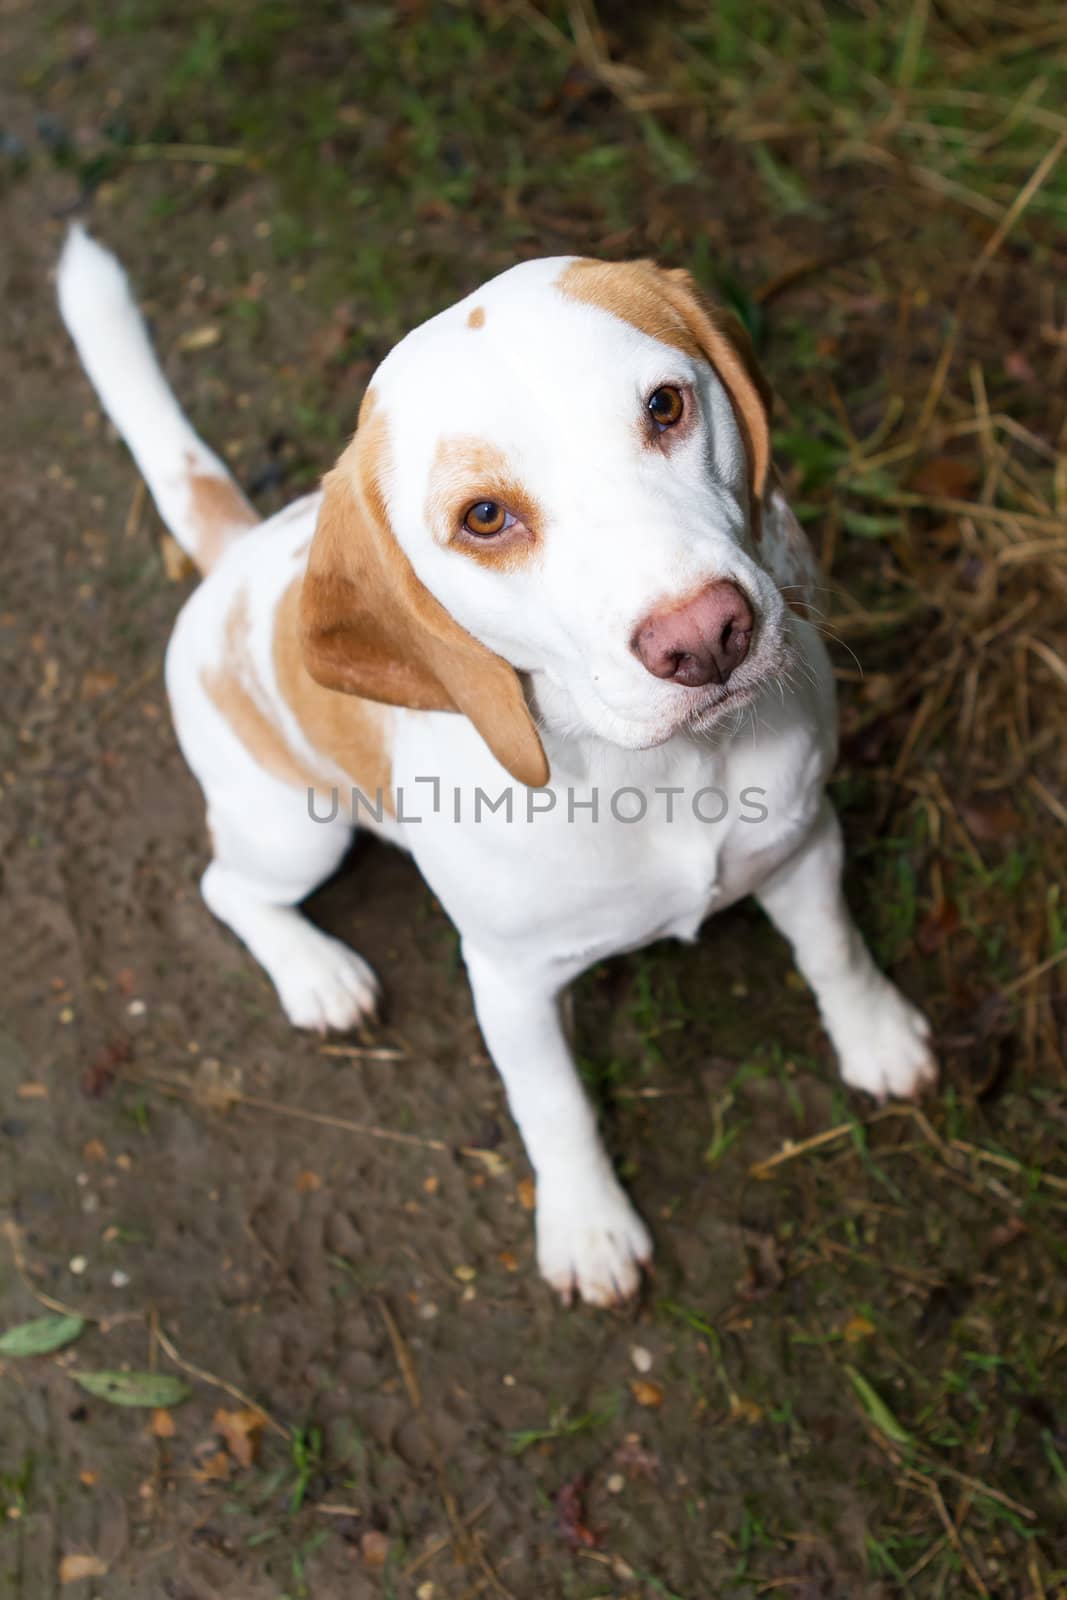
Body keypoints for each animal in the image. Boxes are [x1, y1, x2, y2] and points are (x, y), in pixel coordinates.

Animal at [56, 228, 934, 1299]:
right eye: (484, 518)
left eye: (664, 407)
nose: (705, 637)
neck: (660, 774)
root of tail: (235, 557)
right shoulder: (510, 984)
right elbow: (555, 1108)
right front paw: (589, 1228)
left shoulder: (802, 844)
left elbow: (835, 951)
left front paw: (878, 1036)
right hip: (292, 833)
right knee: (227, 889)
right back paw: (316, 973)